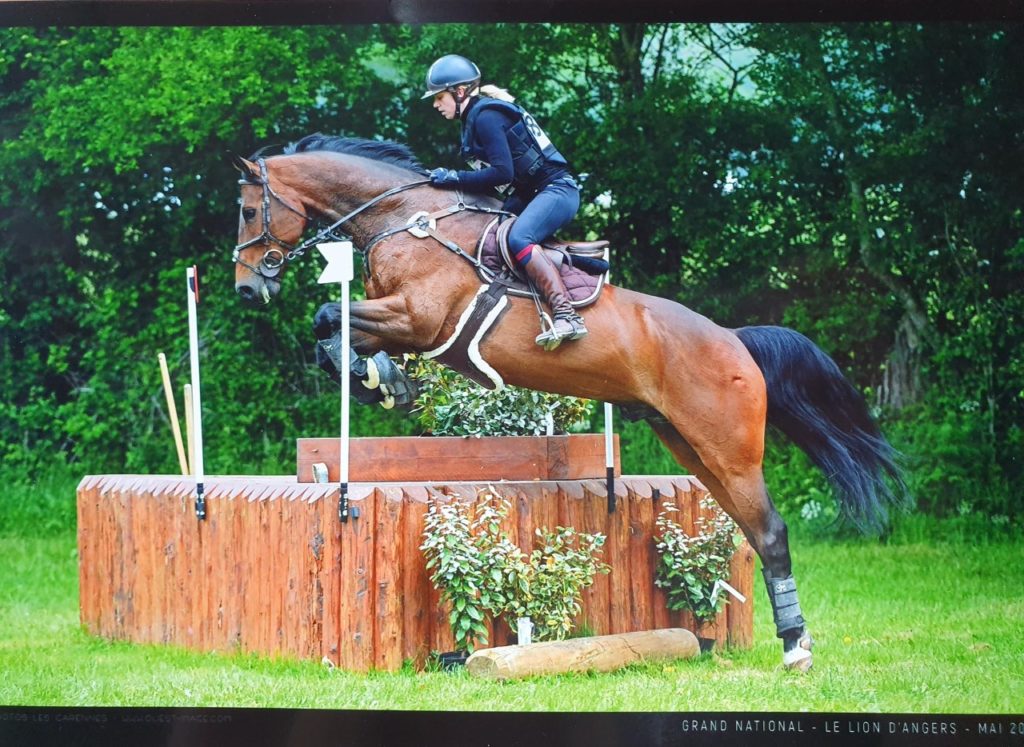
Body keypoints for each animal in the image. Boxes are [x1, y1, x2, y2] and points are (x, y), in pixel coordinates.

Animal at [232, 132, 905, 672]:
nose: (245, 287)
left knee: (770, 532)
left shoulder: (417, 319)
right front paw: (378, 378)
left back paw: (795, 650)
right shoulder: (401, 323)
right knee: (750, 530)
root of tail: (734, 341)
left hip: (730, 451)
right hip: (691, 446)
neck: (407, 218)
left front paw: (376, 379)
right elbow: (333, 326)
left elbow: (328, 313)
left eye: (246, 210)